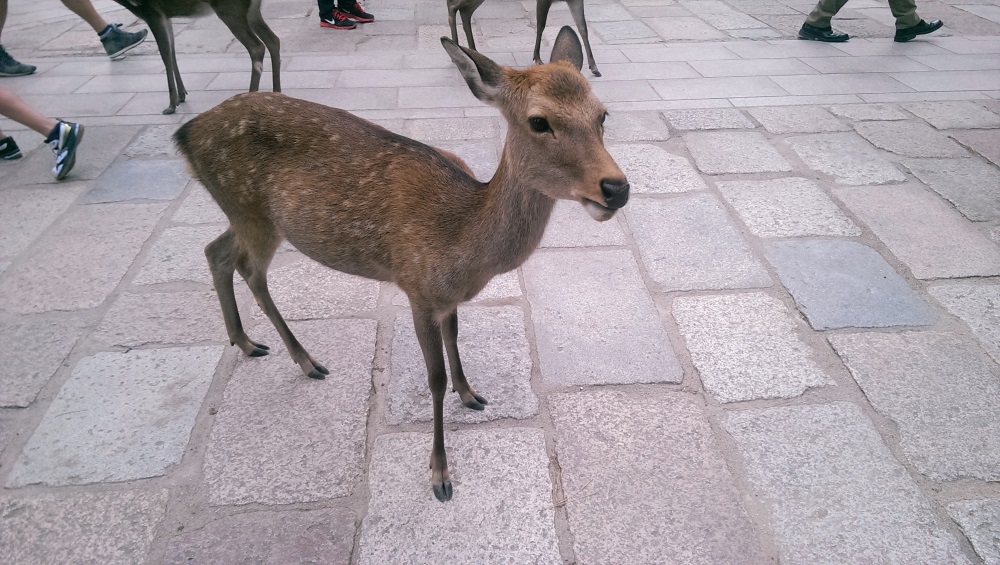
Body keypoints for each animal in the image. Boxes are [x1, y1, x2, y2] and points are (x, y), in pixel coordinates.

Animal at [110, 0, 280, 114]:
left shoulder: (151, 11)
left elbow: (165, 54)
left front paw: (171, 105)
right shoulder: (166, 15)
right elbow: (172, 52)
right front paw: (180, 96)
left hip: (230, 9)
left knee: (257, 47)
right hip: (251, 10)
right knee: (273, 40)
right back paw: (277, 93)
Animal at [173, 27, 628, 502]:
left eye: (602, 114)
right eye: (539, 121)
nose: (616, 188)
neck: (463, 243)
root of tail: (184, 134)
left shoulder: (446, 298)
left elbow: (455, 342)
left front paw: (471, 394)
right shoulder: (417, 288)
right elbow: (434, 378)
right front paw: (440, 474)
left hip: (248, 215)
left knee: (216, 251)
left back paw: (246, 342)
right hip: (250, 210)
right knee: (249, 268)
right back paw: (305, 360)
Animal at [447, 0, 601, 77]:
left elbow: (583, 27)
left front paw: (594, 67)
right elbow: (541, 24)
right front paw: (537, 58)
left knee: (465, 12)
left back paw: (471, 50)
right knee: (452, 5)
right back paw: (454, 47)